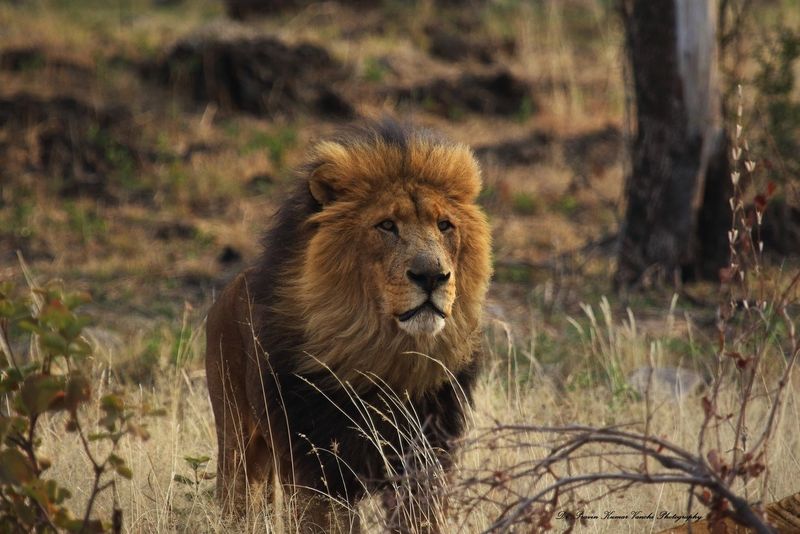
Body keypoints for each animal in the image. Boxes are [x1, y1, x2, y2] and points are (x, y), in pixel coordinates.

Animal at [205, 119, 492, 533]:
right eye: (387, 225)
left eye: (444, 225)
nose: (432, 276)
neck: (384, 357)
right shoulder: (317, 471)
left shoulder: (426, 462)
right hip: (237, 440)